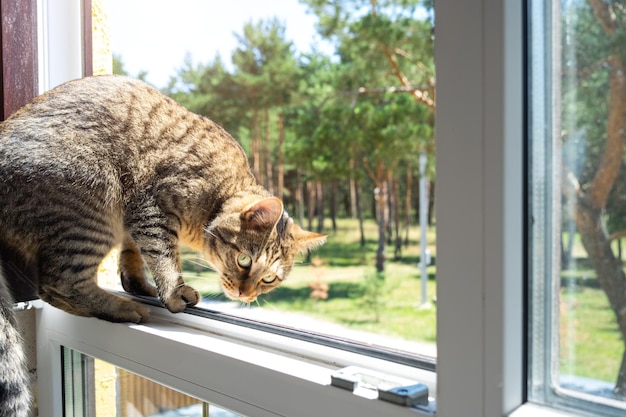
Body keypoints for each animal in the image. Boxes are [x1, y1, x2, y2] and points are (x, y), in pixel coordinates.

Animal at [1, 75, 326, 416]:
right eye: (244, 261)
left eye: (269, 279)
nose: (245, 294)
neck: (219, 192)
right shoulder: (151, 208)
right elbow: (163, 255)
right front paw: (172, 292)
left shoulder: (133, 222)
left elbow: (133, 257)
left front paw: (139, 284)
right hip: (93, 201)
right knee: (58, 284)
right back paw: (122, 308)